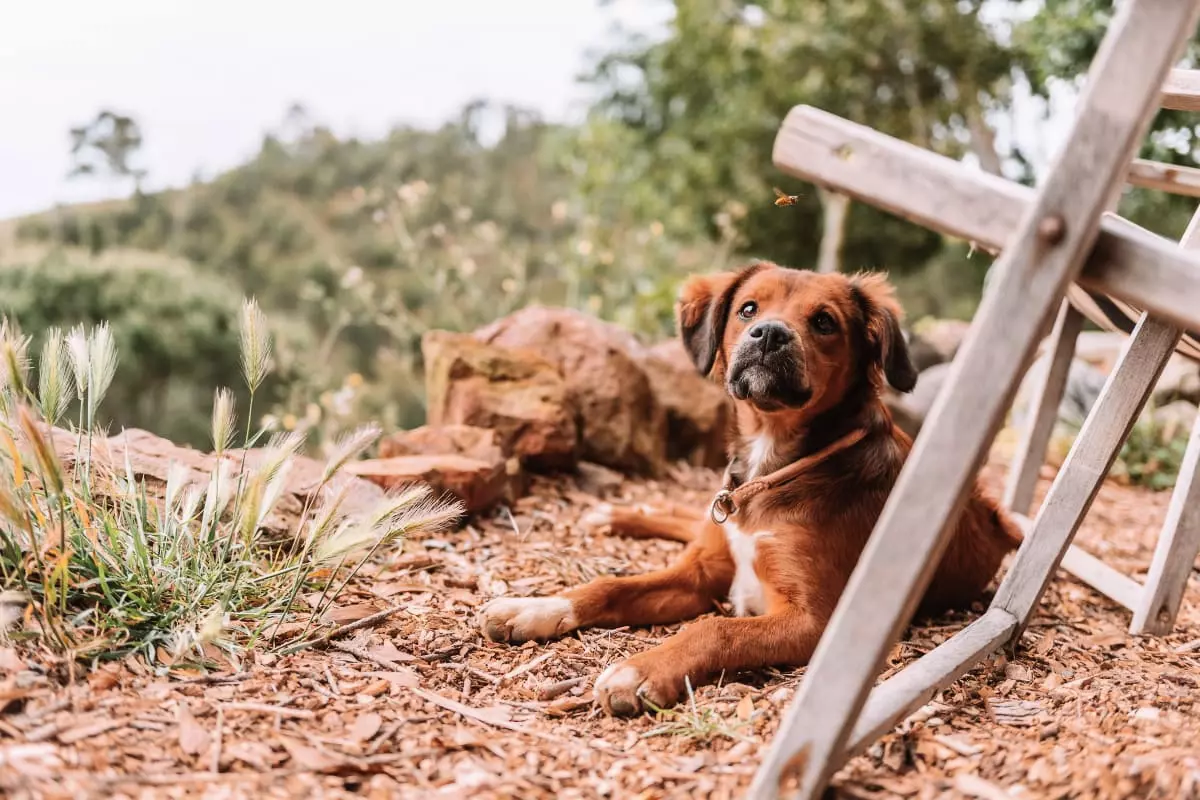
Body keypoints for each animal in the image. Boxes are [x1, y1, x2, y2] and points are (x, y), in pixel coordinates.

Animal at [479, 262, 1021, 716]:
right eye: (748, 309)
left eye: (824, 322)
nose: (771, 334)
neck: (771, 467)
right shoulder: (700, 572)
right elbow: (611, 586)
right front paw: (537, 607)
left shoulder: (814, 620)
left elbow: (714, 628)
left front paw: (641, 671)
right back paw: (613, 516)